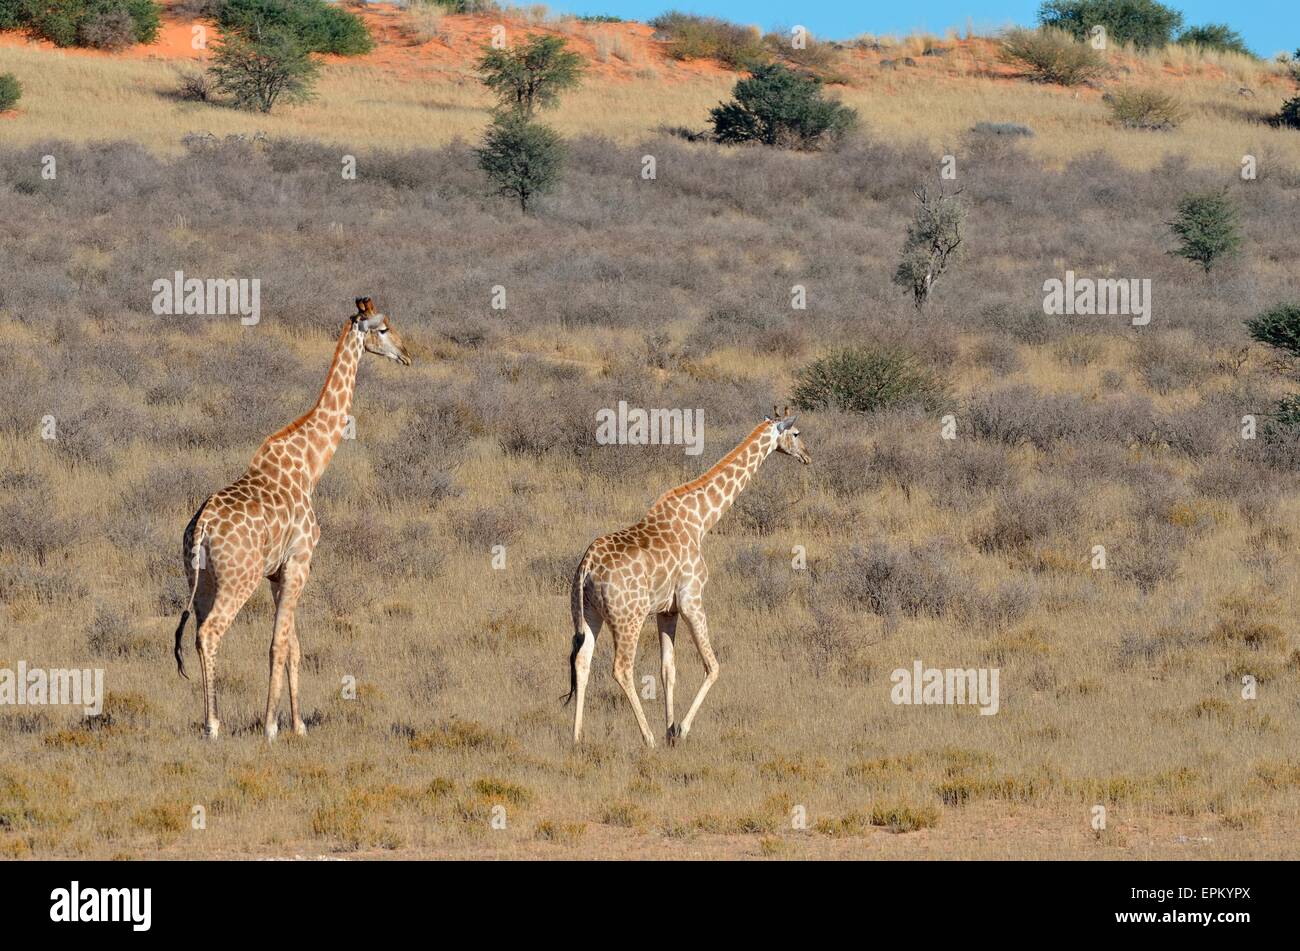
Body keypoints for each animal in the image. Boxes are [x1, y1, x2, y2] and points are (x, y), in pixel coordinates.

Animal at [170, 293, 408, 737]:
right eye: (384, 328)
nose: (406, 353)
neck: (310, 464)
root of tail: (203, 527)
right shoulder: (300, 561)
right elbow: (279, 644)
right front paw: (270, 726)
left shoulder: (279, 573)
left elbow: (294, 647)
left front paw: (297, 725)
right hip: (238, 579)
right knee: (210, 633)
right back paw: (213, 725)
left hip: (201, 578)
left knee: (195, 632)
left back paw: (212, 720)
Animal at [569, 405, 811, 748]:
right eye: (796, 433)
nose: (807, 456)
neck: (701, 519)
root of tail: (587, 567)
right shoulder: (691, 599)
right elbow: (713, 666)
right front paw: (679, 730)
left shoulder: (666, 610)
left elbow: (668, 669)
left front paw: (670, 729)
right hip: (628, 617)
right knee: (621, 669)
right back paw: (647, 738)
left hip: (588, 613)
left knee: (582, 660)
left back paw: (577, 737)